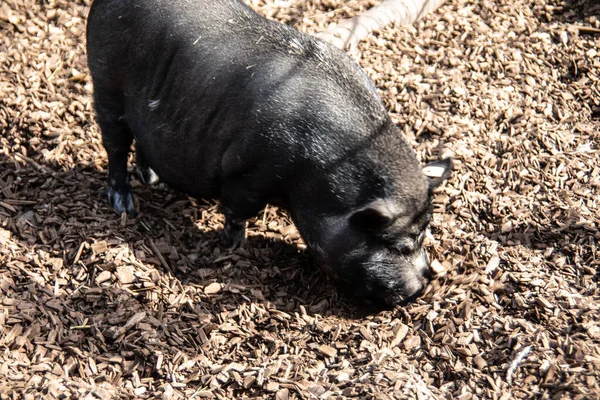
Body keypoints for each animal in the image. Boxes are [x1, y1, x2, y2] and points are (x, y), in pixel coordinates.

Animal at [85, 0, 450, 308]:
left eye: (425, 234)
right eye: (398, 246)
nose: (421, 287)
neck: (316, 179)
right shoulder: (245, 174)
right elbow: (239, 211)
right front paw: (235, 244)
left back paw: (151, 179)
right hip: (105, 86)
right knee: (115, 146)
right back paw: (124, 204)